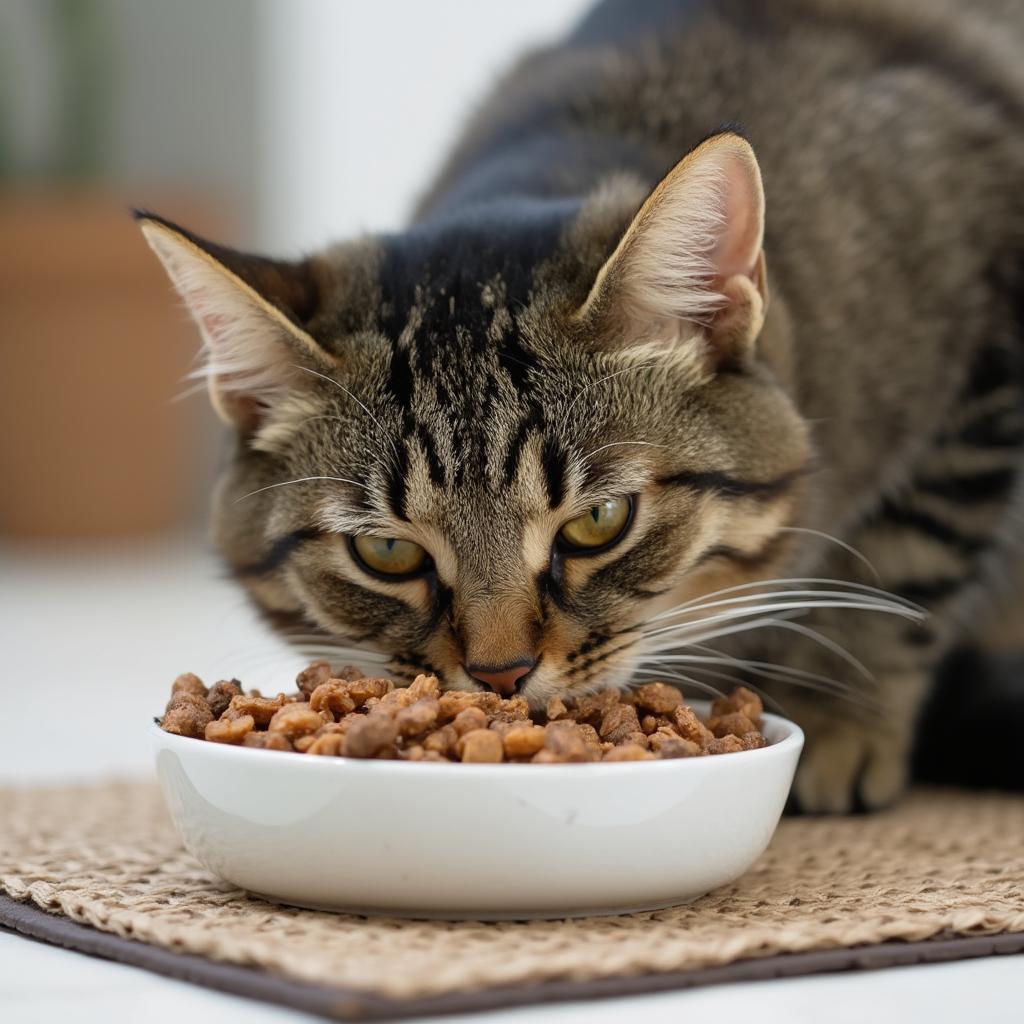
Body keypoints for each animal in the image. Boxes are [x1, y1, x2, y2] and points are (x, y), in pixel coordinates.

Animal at [136, 2, 1024, 815]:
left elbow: (907, 556)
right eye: (386, 552)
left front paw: (840, 714)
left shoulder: (989, 342)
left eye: (600, 522)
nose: (499, 675)